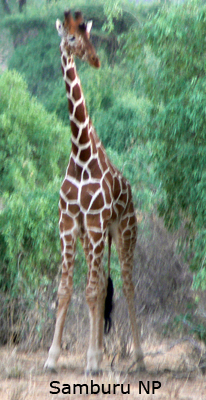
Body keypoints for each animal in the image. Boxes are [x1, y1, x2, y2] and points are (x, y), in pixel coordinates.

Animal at [45, 9, 145, 374]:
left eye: (89, 36)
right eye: (72, 38)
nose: (96, 59)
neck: (80, 153)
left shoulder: (96, 220)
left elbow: (89, 291)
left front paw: (90, 361)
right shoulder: (69, 221)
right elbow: (66, 290)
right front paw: (52, 357)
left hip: (124, 231)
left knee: (127, 285)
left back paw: (139, 358)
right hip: (94, 237)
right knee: (102, 286)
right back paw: (101, 353)